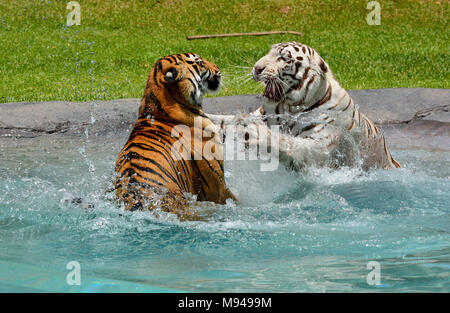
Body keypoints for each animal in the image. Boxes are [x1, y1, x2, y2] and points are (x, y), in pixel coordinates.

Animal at [207, 42, 400, 171]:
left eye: (283, 58)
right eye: (269, 52)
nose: (256, 68)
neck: (286, 106)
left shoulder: (322, 147)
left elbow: (290, 143)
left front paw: (256, 133)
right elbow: (221, 121)